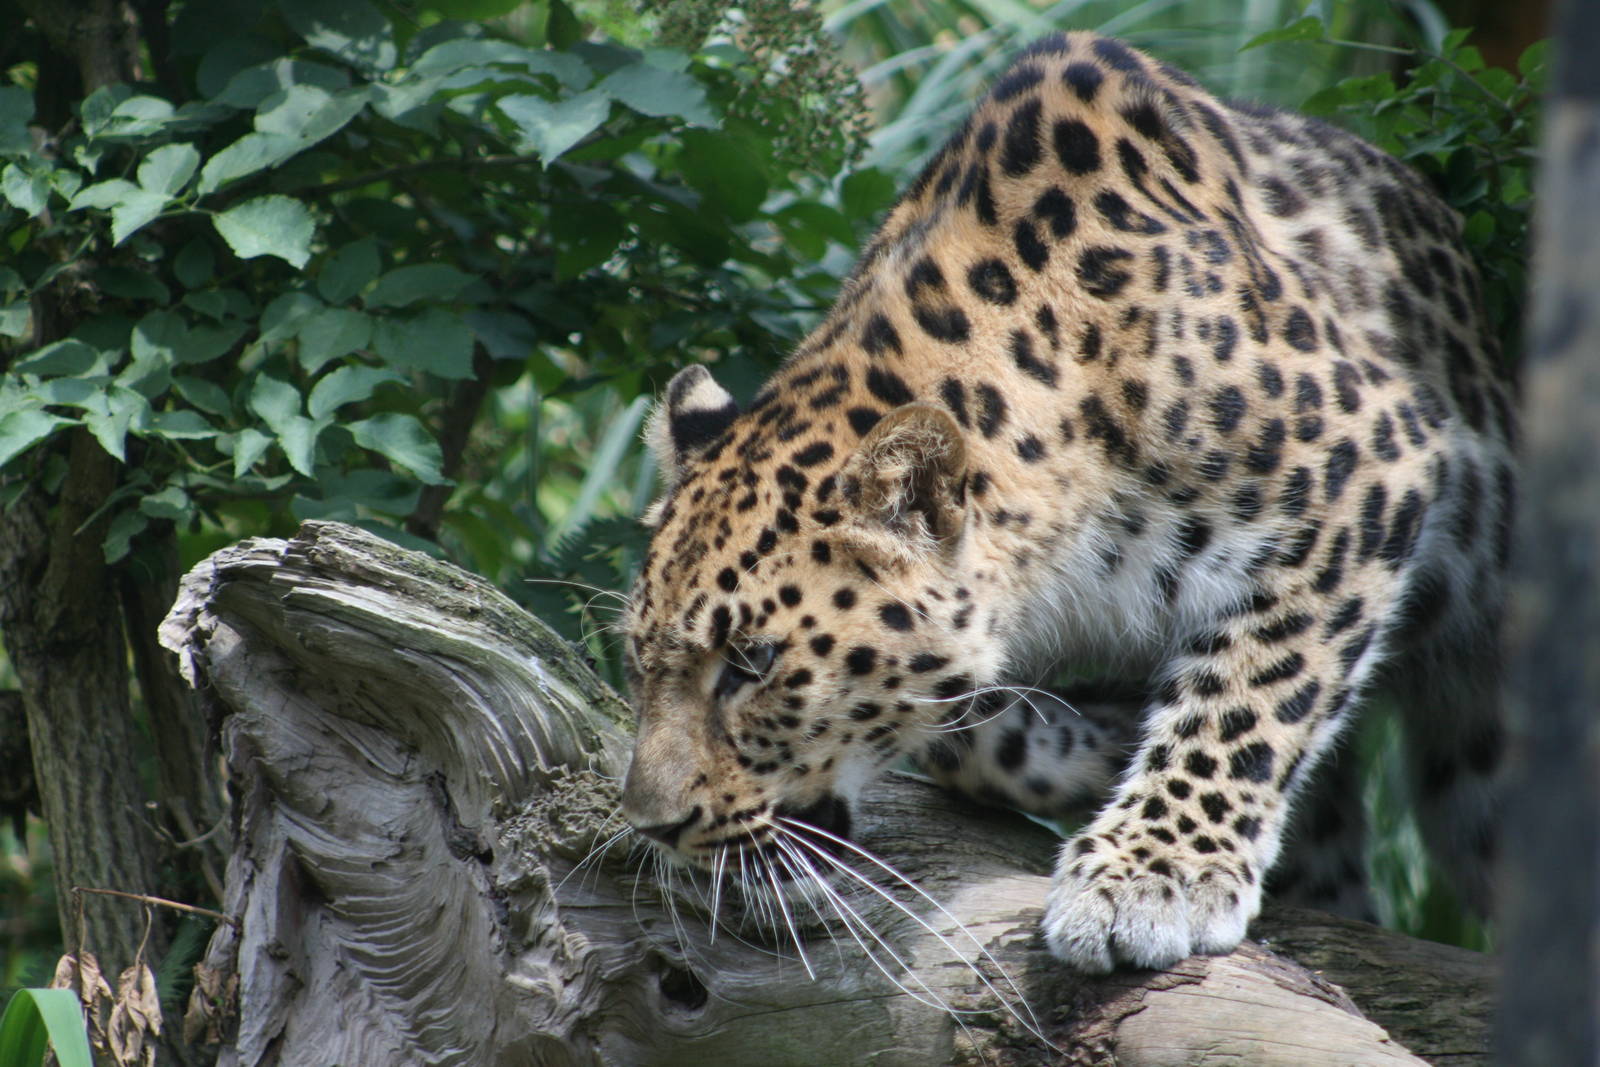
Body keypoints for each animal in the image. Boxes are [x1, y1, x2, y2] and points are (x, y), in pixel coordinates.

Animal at [618, 30, 1515, 973]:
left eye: (751, 664)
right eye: (638, 661)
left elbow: (1249, 691)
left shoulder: (1368, 462)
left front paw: (1152, 873)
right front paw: (1094, 739)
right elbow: (965, 732)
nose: (653, 826)